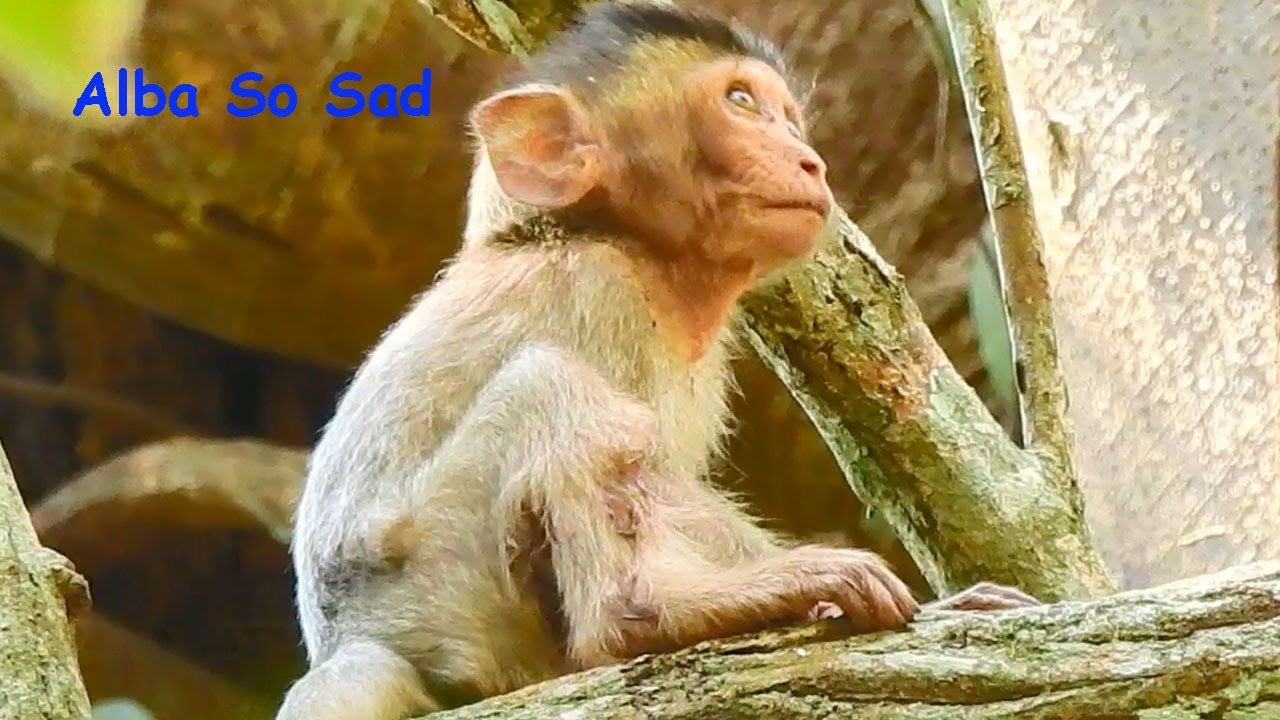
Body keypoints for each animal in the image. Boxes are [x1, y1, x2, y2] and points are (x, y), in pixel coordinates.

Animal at [276, 5, 1038, 719]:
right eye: (741, 102)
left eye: (789, 118)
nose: (810, 162)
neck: (581, 233)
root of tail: (352, 644)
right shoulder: (601, 290)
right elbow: (650, 467)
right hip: (439, 587)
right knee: (547, 387)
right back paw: (641, 617)